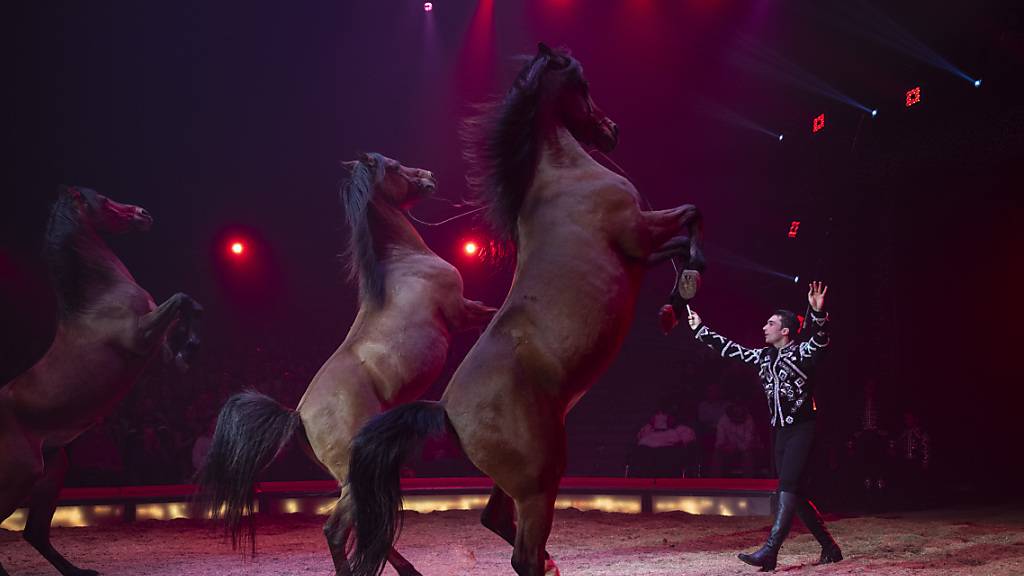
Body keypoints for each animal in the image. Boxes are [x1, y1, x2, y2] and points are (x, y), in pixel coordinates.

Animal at [0, 186, 201, 569]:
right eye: (104, 201)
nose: (143, 213)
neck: (98, 299)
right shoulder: (140, 336)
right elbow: (183, 300)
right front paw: (193, 337)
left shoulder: (153, 346)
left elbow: (177, 329)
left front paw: (189, 352)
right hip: (20, 475)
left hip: (52, 469)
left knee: (35, 533)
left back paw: (80, 572)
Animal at [197, 152, 497, 573]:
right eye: (394, 167)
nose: (428, 176)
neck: (404, 265)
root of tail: (298, 415)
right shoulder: (461, 312)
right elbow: (494, 311)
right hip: (355, 477)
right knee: (338, 530)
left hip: (357, 475)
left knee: (366, 525)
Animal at [350, 44, 704, 573]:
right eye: (582, 84)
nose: (612, 130)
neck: (563, 178)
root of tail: (445, 412)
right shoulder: (638, 234)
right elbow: (691, 218)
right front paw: (685, 289)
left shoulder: (642, 251)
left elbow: (683, 238)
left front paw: (676, 299)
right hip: (541, 481)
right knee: (524, 555)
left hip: (515, 482)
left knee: (496, 522)